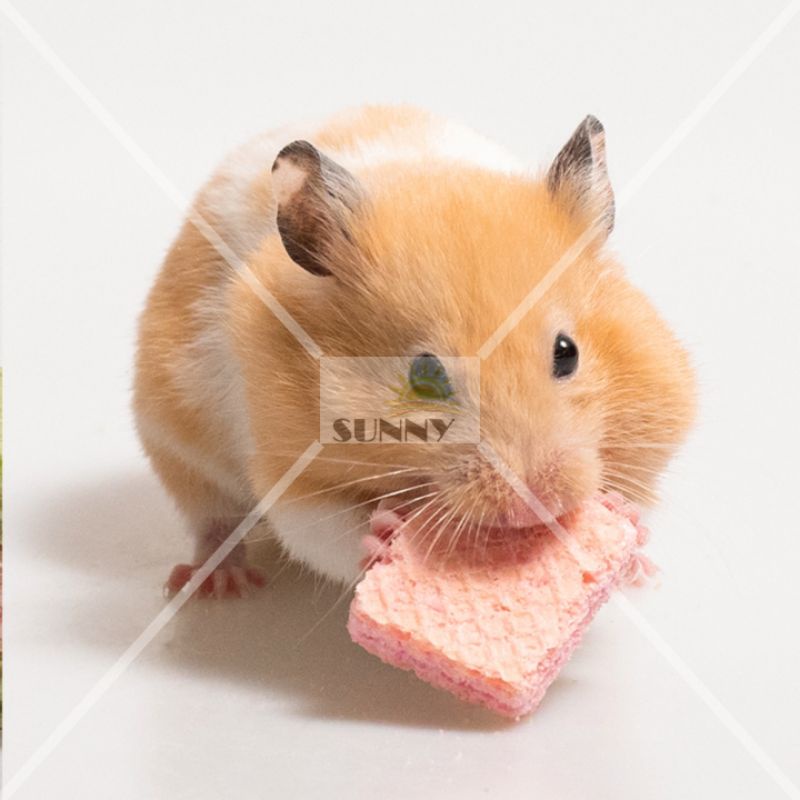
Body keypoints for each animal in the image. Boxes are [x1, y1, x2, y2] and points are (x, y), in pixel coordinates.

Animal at [133, 105, 695, 595]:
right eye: (425, 374)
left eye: (567, 352)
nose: (534, 506)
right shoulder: (286, 464)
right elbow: (317, 528)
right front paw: (382, 536)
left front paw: (634, 544)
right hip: (174, 443)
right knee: (211, 522)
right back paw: (218, 585)